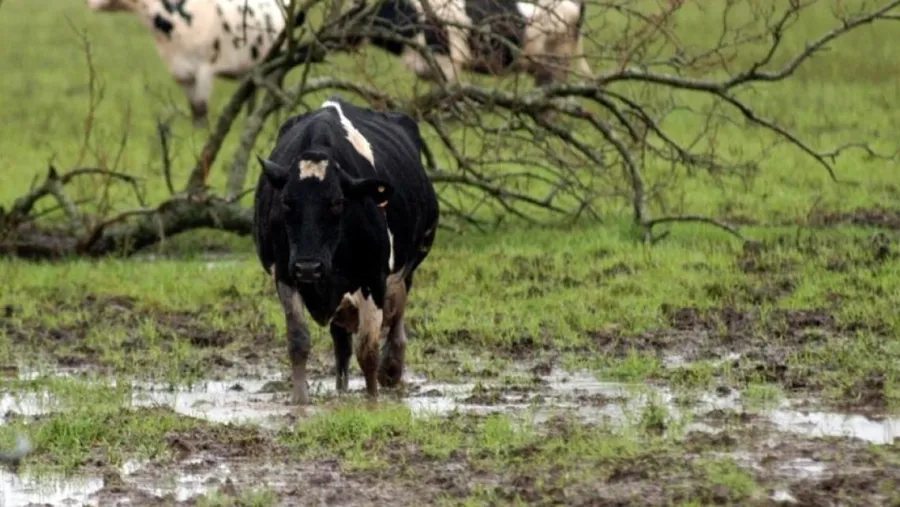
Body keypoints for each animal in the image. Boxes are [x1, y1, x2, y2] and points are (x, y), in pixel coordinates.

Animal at [86, 0, 306, 128]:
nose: (90, 3)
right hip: (254, 68)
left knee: (274, 97)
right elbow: (194, 111)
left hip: (279, 62)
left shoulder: (204, 69)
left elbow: (201, 109)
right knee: (253, 99)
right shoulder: (183, 73)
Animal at [252, 95, 439, 404]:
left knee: (396, 320)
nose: (309, 266)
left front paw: (372, 400)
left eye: (338, 203)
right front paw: (300, 401)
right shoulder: (285, 274)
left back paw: (392, 369)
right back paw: (341, 389)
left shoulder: (373, 278)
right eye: (287, 202)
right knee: (341, 343)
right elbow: (299, 340)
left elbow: (368, 349)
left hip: (406, 267)